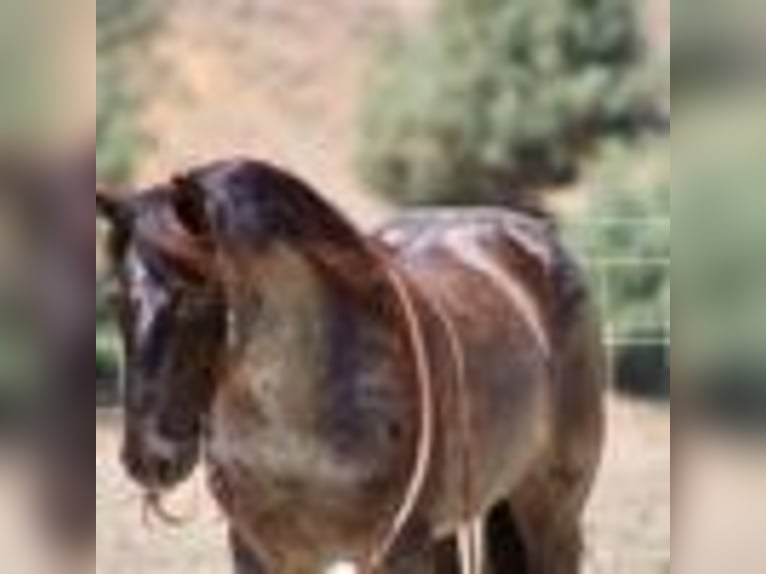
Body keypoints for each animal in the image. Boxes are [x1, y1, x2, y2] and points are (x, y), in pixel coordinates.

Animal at [97, 158, 606, 573]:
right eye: (117, 297)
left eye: (194, 294)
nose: (147, 457)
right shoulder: (261, 553)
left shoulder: (396, 552)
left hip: (551, 514)